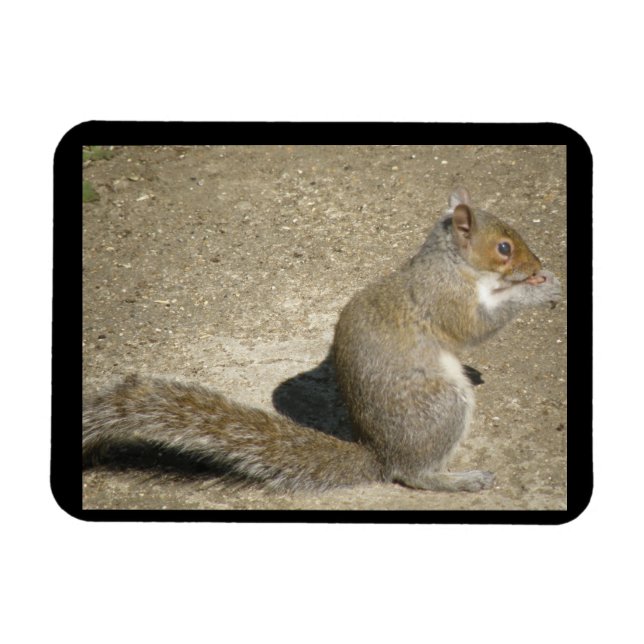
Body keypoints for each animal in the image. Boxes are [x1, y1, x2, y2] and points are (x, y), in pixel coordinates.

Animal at [83, 187, 561, 493]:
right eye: (503, 248)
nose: (537, 265)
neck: (452, 264)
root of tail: (381, 455)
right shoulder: (445, 299)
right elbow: (476, 328)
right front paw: (539, 290)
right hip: (442, 405)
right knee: (414, 475)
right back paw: (458, 479)